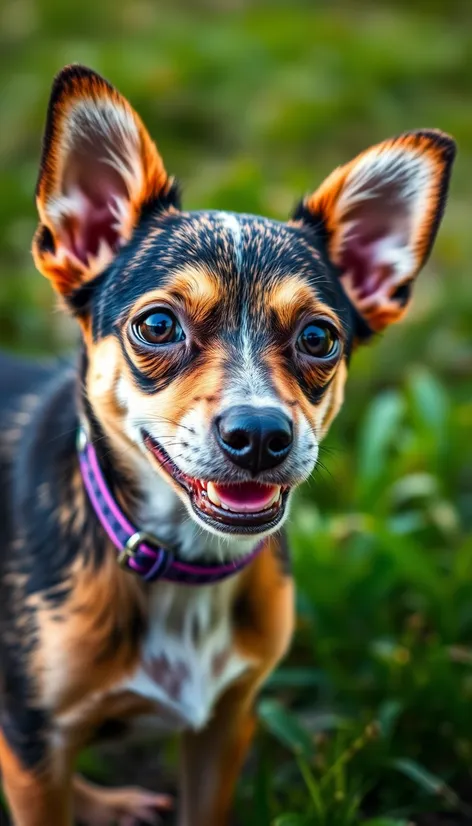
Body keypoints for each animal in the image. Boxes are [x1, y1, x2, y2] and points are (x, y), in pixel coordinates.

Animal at [0, 66, 456, 824]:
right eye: (157, 325)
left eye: (319, 337)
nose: (261, 435)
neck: (185, 568)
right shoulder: (35, 741)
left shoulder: (227, 722)